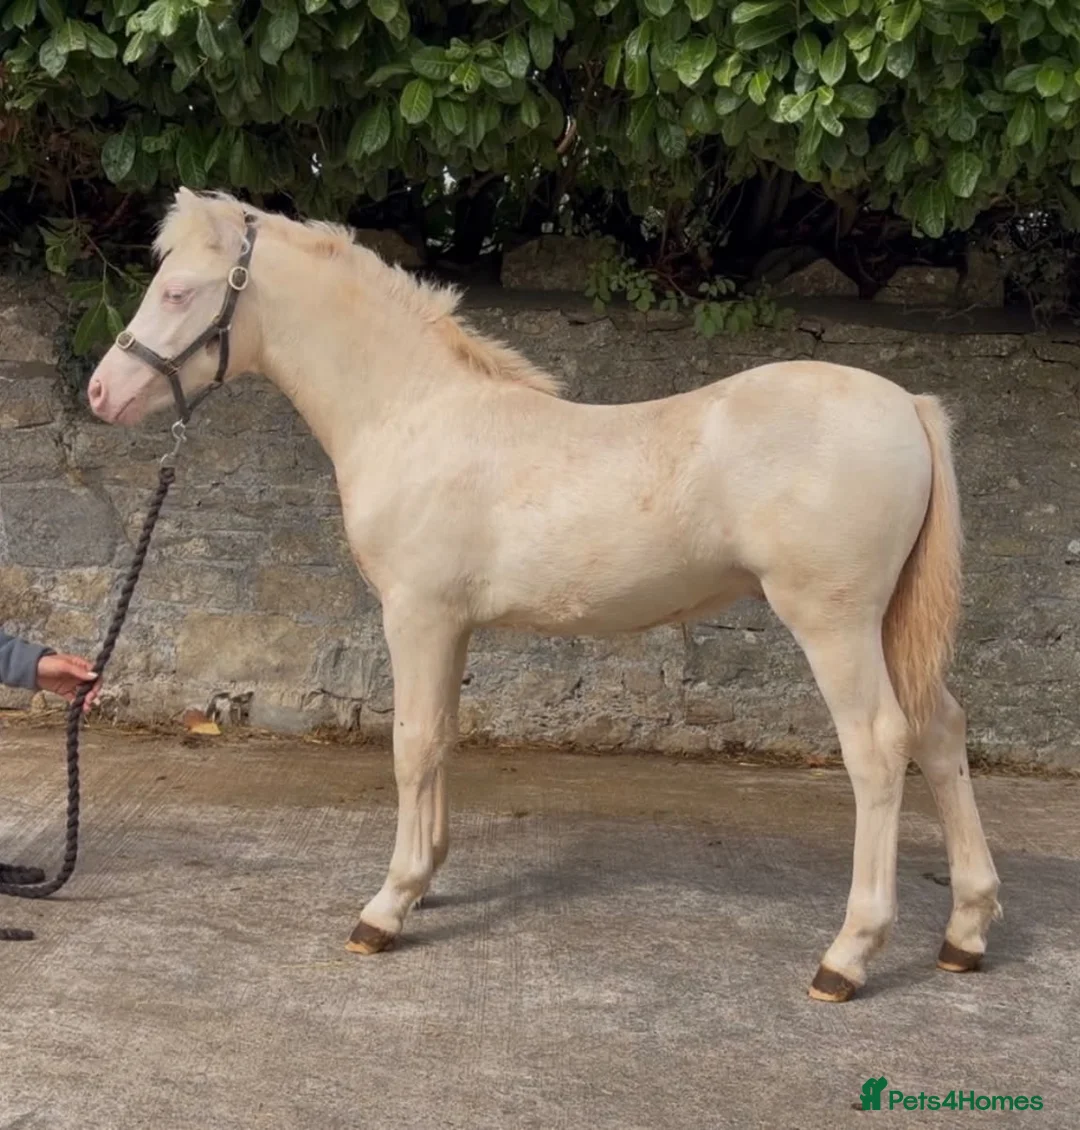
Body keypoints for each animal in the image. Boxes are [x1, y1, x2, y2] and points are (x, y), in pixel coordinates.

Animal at [86, 188, 1002, 1002]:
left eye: (178, 290)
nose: (102, 393)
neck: (415, 412)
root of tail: (908, 404)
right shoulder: (451, 624)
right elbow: (443, 739)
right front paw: (427, 880)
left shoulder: (416, 614)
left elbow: (412, 745)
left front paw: (386, 908)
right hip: (889, 624)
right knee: (941, 730)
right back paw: (965, 931)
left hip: (834, 623)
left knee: (879, 747)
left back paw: (847, 958)